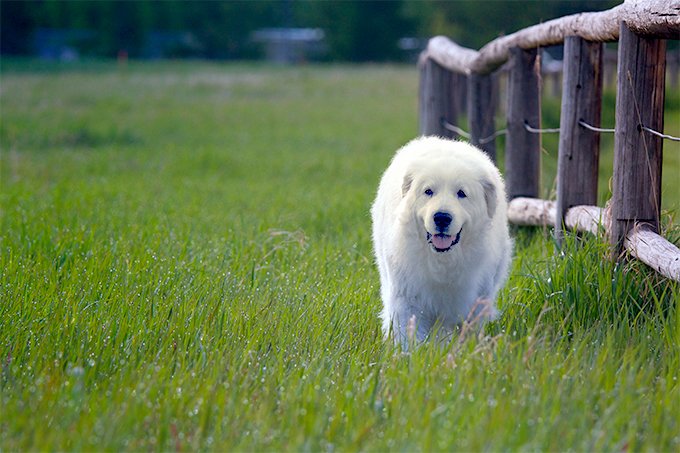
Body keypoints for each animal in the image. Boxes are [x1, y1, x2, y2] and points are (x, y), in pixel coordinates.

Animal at [372, 136, 510, 344]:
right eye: (428, 191)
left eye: (461, 193)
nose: (442, 218)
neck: (443, 260)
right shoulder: (407, 298)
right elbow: (408, 335)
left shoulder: (476, 300)